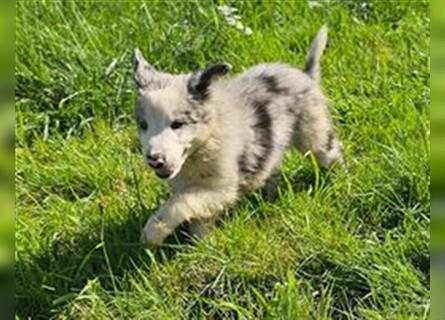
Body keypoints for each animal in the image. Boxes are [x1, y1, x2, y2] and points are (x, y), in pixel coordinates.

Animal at [134, 25, 346, 245]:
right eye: (143, 125)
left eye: (177, 124)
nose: (154, 159)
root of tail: (306, 75)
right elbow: (198, 217)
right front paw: (204, 244)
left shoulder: (223, 187)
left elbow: (179, 202)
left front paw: (152, 234)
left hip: (315, 134)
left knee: (333, 152)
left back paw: (342, 181)